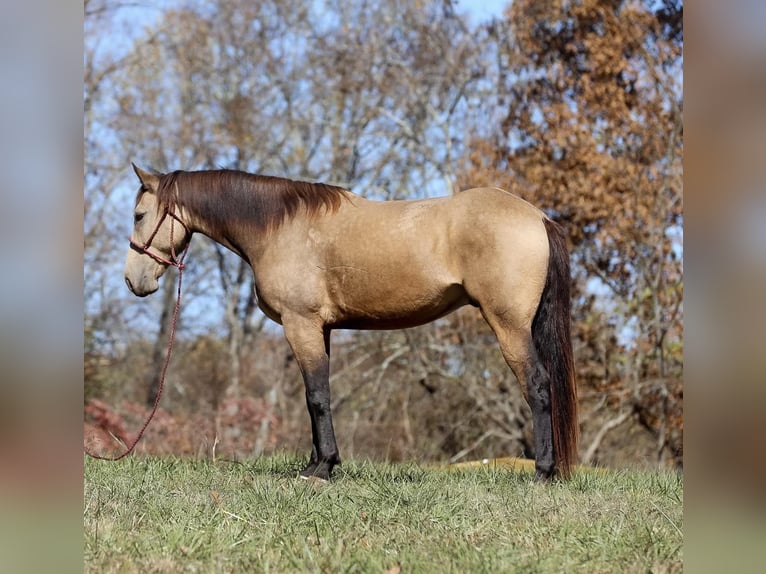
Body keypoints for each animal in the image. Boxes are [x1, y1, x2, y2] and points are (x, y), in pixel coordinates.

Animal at [126, 164, 580, 484]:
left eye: (138, 215)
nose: (134, 281)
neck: (280, 227)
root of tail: (538, 217)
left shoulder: (301, 325)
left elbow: (317, 396)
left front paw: (323, 468)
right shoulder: (320, 329)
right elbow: (316, 396)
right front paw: (316, 463)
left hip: (510, 326)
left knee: (538, 386)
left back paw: (543, 472)